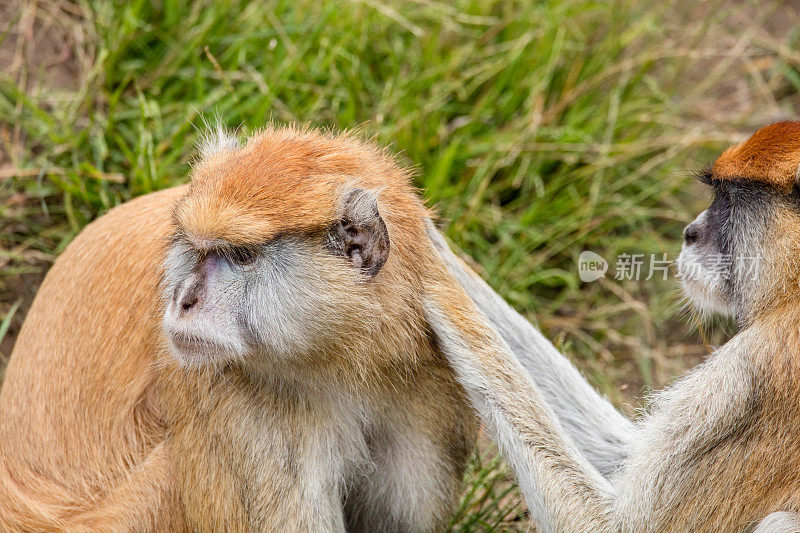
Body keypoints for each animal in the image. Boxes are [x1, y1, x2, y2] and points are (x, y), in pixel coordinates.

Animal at [0, 127, 478, 528]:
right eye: (195, 249)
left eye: (242, 256)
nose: (182, 300)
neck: (341, 360)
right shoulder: (236, 408)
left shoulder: (424, 380)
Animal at [424, 121, 800, 532]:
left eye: (728, 199)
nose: (690, 233)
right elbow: (621, 450)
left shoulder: (750, 377)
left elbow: (612, 525)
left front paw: (435, 279)